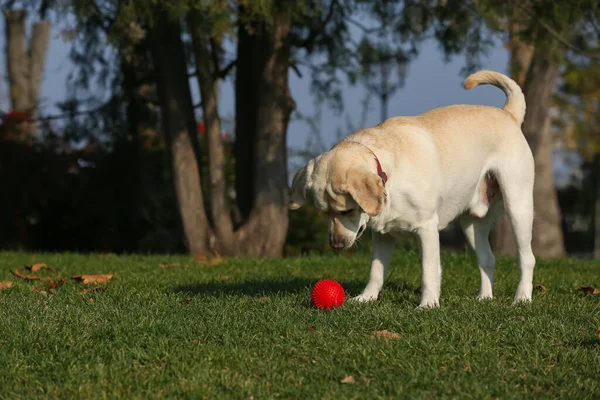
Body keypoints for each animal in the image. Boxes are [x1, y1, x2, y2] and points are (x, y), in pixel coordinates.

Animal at [290, 71, 536, 310]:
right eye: (324, 213)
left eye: (347, 211)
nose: (336, 244)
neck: (388, 176)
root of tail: (508, 114)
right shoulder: (382, 235)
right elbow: (376, 272)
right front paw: (366, 298)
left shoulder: (427, 228)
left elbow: (429, 272)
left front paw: (428, 305)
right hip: (471, 224)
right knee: (488, 259)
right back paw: (484, 298)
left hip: (518, 208)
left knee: (527, 258)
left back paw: (522, 298)